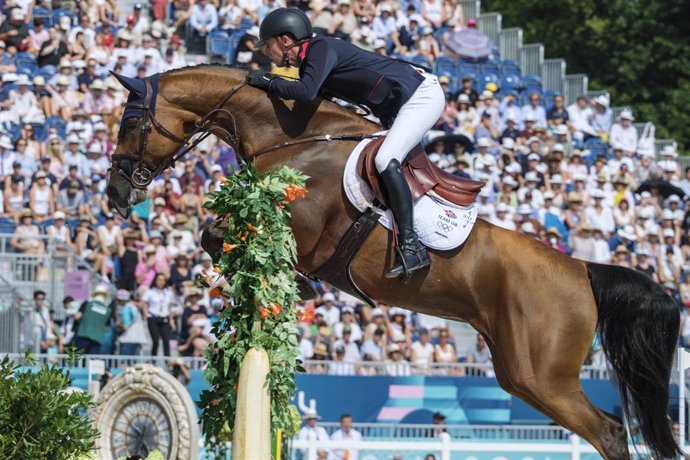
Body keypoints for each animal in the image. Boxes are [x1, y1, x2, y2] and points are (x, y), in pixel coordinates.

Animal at [107, 65, 676, 460]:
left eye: (130, 122)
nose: (115, 193)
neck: (292, 135)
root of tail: (582, 270)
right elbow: (215, 234)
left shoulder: (301, 227)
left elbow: (220, 232)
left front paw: (294, 285)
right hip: (520, 374)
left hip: (543, 377)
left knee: (608, 431)